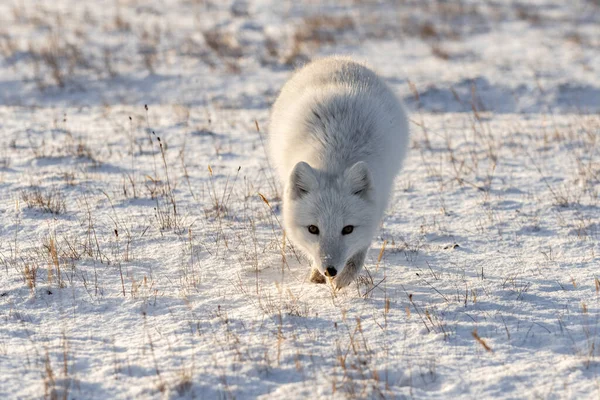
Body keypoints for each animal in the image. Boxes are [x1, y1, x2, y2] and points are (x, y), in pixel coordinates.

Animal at [270, 55, 410, 288]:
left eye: (348, 229)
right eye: (313, 229)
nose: (330, 270)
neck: (334, 157)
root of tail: (338, 58)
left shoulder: (378, 201)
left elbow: (359, 252)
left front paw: (344, 278)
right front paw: (317, 275)